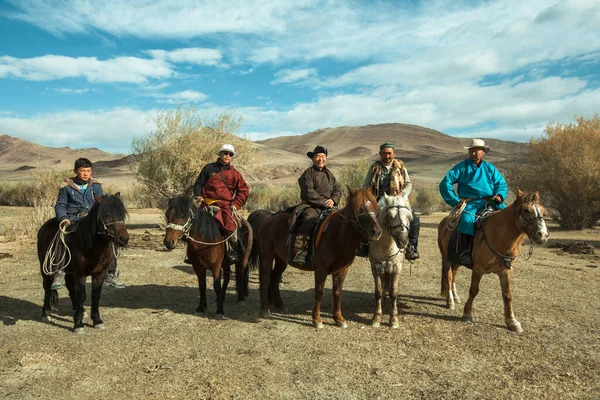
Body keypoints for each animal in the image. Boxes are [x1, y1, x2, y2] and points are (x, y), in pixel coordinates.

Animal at [37, 194, 129, 334]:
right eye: (106, 215)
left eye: (121, 214)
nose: (124, 239)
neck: (91, 246)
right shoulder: (80, 274)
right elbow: (82, 295)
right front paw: (78, 324)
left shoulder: (99, 273)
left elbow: (95, 295)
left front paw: (97, 320)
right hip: (45, 267)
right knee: (47, 287)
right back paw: (46, 312)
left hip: (69, 270)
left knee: (70, 286)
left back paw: (77, 309)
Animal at [256, 188, 380, 328]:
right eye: (359, 209)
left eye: (375, 207)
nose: (376, 232)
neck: (337, 235)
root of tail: (267, 220)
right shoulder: (321, 269)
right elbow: (319, 292)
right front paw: (317, 319)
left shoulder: (342, 270)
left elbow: (337, 293)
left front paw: (339, 319)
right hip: (267, 256)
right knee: (265, 279)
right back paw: (264, 310)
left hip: (281, 260)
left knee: (275, 277)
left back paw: (280, 305)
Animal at [370, 194, 412, 328]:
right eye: (390, 216)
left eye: (409, 216)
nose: (403, 241)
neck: (386, 246)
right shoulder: (376, 267)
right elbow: (378, 291)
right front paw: (376, 317)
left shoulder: (397, 268)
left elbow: (394, 292)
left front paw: (394, 319)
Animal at [436, 189, 548, 332]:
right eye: (526, 210)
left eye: (543, 212)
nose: (543, 235)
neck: (498, 236)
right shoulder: (478, 269)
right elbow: (473, 290)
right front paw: (467, 313)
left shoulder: (506, 271)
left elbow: (507, 295)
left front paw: (512, 321)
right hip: (446, 259)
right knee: (449, 276)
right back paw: (450, 301)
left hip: (455, 260)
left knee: (453, 275)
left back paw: (455, 297)